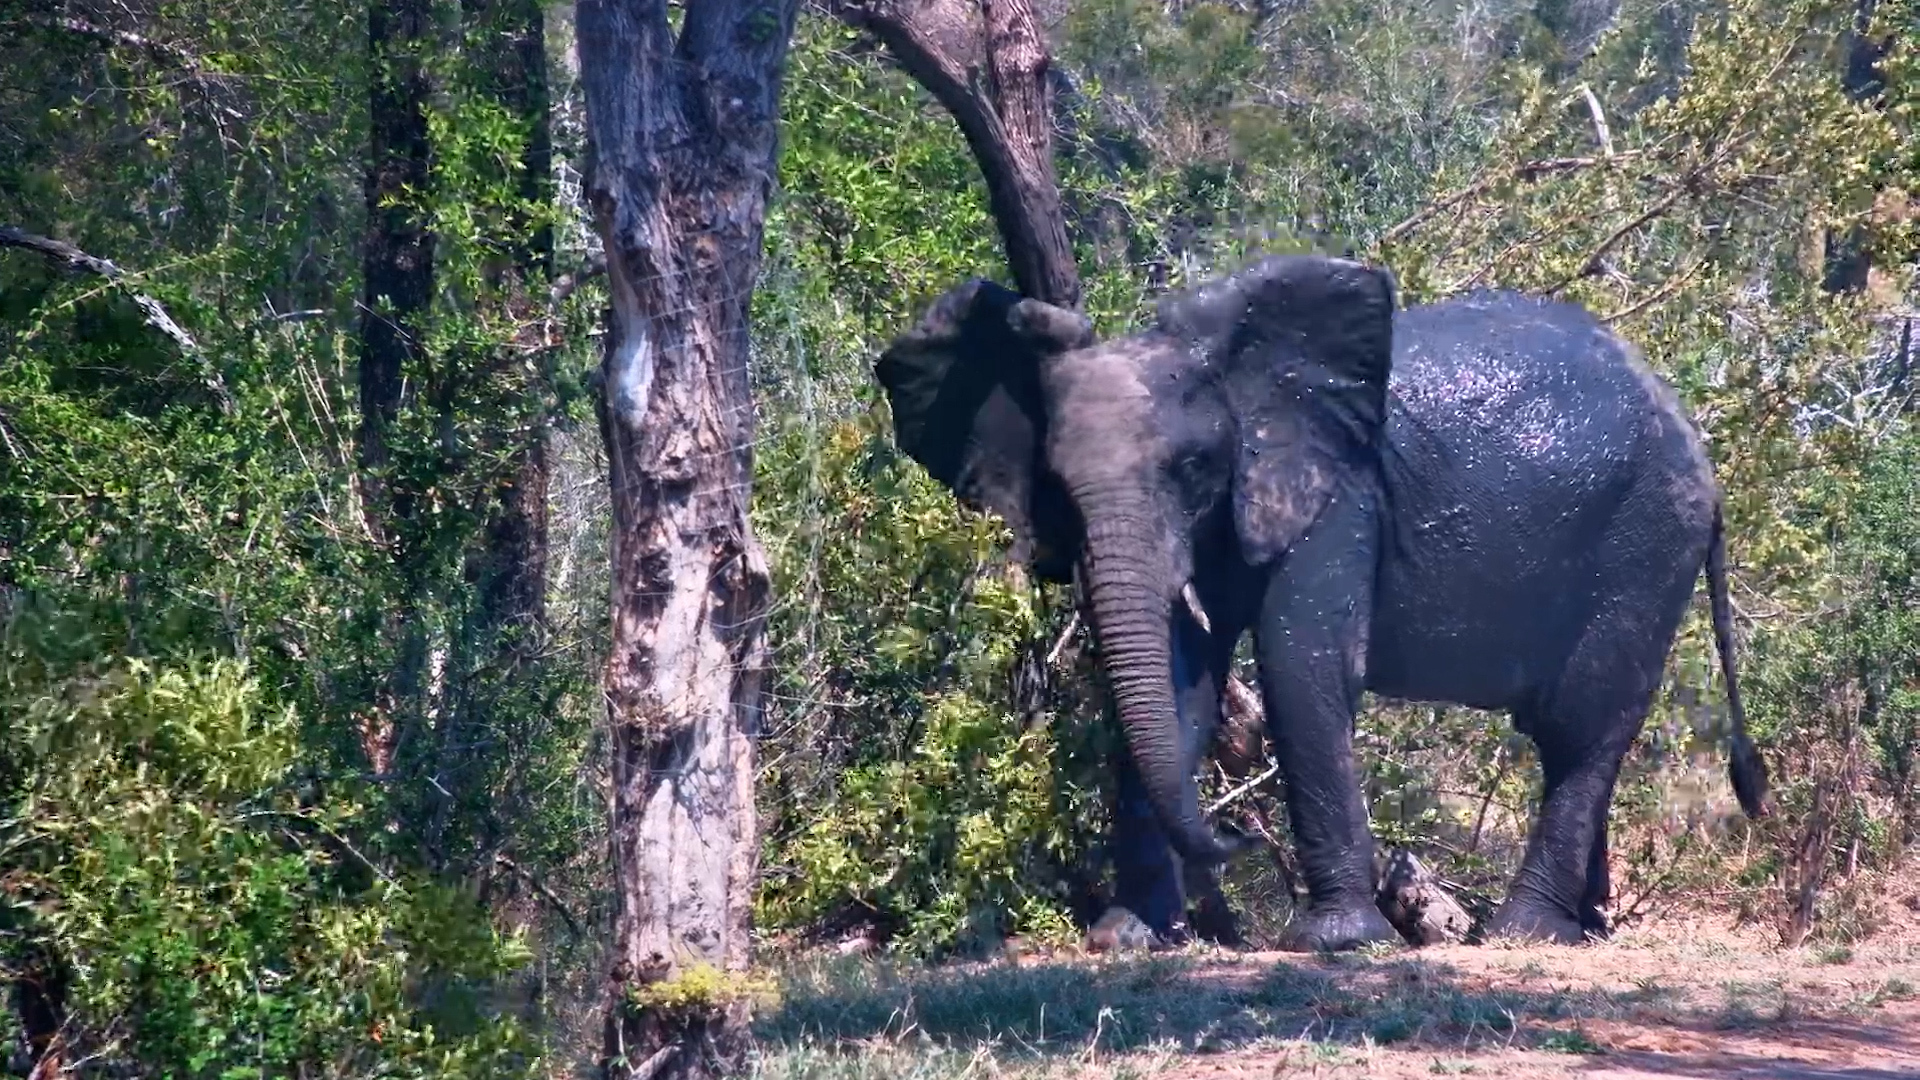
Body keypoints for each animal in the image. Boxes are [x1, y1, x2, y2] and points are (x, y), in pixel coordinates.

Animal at [872, 253, 1771, 951]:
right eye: (1056, 486)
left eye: (1193, 469)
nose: (1234, 833)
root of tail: (1702, 447)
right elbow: (1179, 678)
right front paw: (1127, 937)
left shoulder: (1340, 497)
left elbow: (1300, 659)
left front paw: (1337, 943)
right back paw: (1584, 929)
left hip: (1645, 540)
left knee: (1582, 728)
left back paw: (1524, 935)